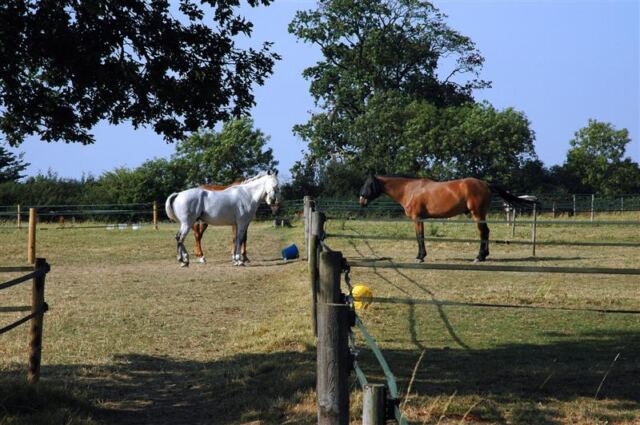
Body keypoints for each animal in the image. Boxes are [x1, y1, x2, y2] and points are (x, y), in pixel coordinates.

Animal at [358, 174, 537, 262]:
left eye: (368, 184)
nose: (361, 200)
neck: (410, 190)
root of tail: (485, 184)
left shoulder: (418, 218)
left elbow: (420, 237)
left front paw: (420, 257)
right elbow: (420, 237)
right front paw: (421, 255)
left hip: (477, 214)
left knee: (483, 232)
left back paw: (479, 257)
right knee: (486, 232)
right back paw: (484, 255)